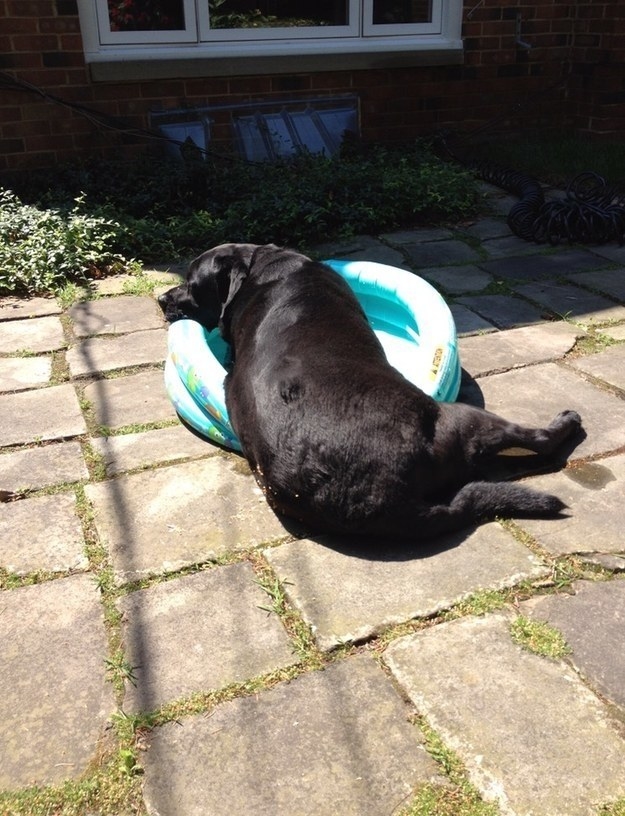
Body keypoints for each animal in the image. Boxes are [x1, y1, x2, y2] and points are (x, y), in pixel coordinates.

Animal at [158, 244, 584, 540]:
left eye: (191, 285)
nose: (161, 298)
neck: (260, 271)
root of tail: (387, 503)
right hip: (460, 418)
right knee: (536, 441)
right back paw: (565, 423)